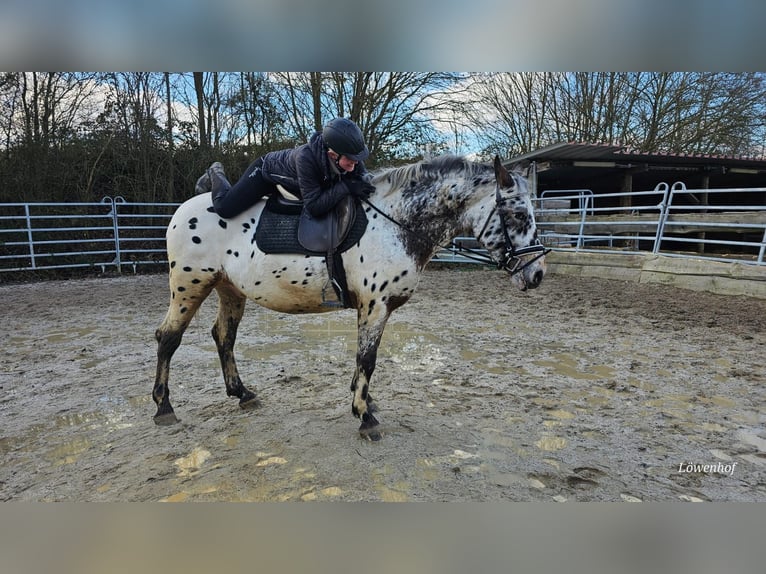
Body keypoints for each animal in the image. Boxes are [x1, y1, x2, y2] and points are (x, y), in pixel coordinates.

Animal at [152, 155, 544, 438]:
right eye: (518, 214)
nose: (537, 274)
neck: (393, 224)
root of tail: (184, 210)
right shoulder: (375, 305)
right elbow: (367, 359)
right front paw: (364, 416)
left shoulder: (373, 309)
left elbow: (362, 361)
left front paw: (364, 401)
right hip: (189, 286)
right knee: (168, 338)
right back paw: (164, 408)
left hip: (229, 290)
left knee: (224, 336)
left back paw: (242, 394)